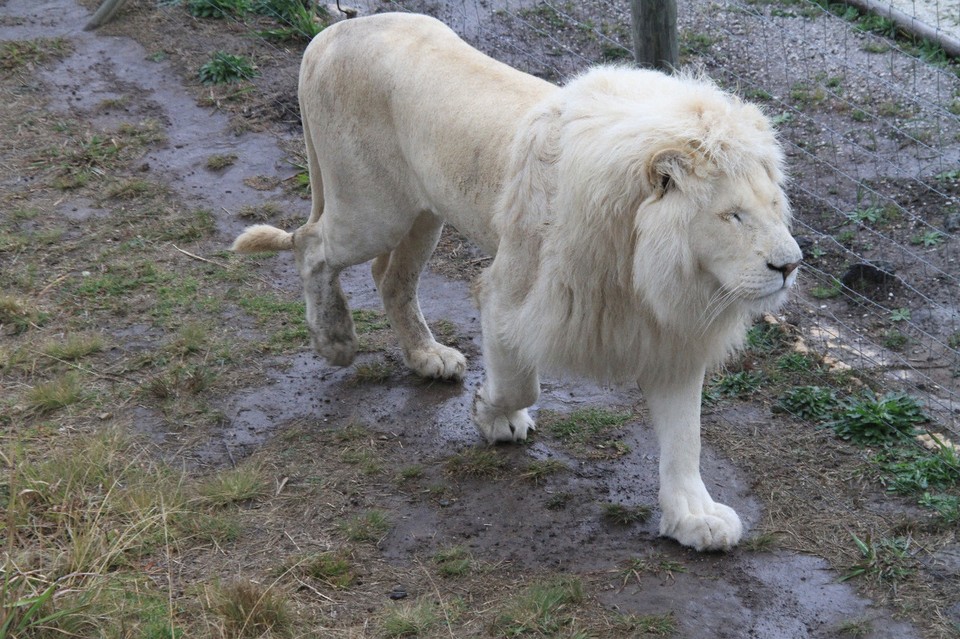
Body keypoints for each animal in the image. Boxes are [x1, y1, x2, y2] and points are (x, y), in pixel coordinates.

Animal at [232, 11, 804, 552]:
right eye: (733, 216)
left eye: (774, 206)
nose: (791, 265)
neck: (646, 268)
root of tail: (330, 35)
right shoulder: (512, 296)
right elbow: (521, 379)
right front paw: (494, 415)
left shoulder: (670, 333)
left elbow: (686, 436)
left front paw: (693, 517)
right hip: (372, 211)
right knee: (312, 246)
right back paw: (335, 340)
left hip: (423, 212)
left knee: (390, 277)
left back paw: (427, 356)